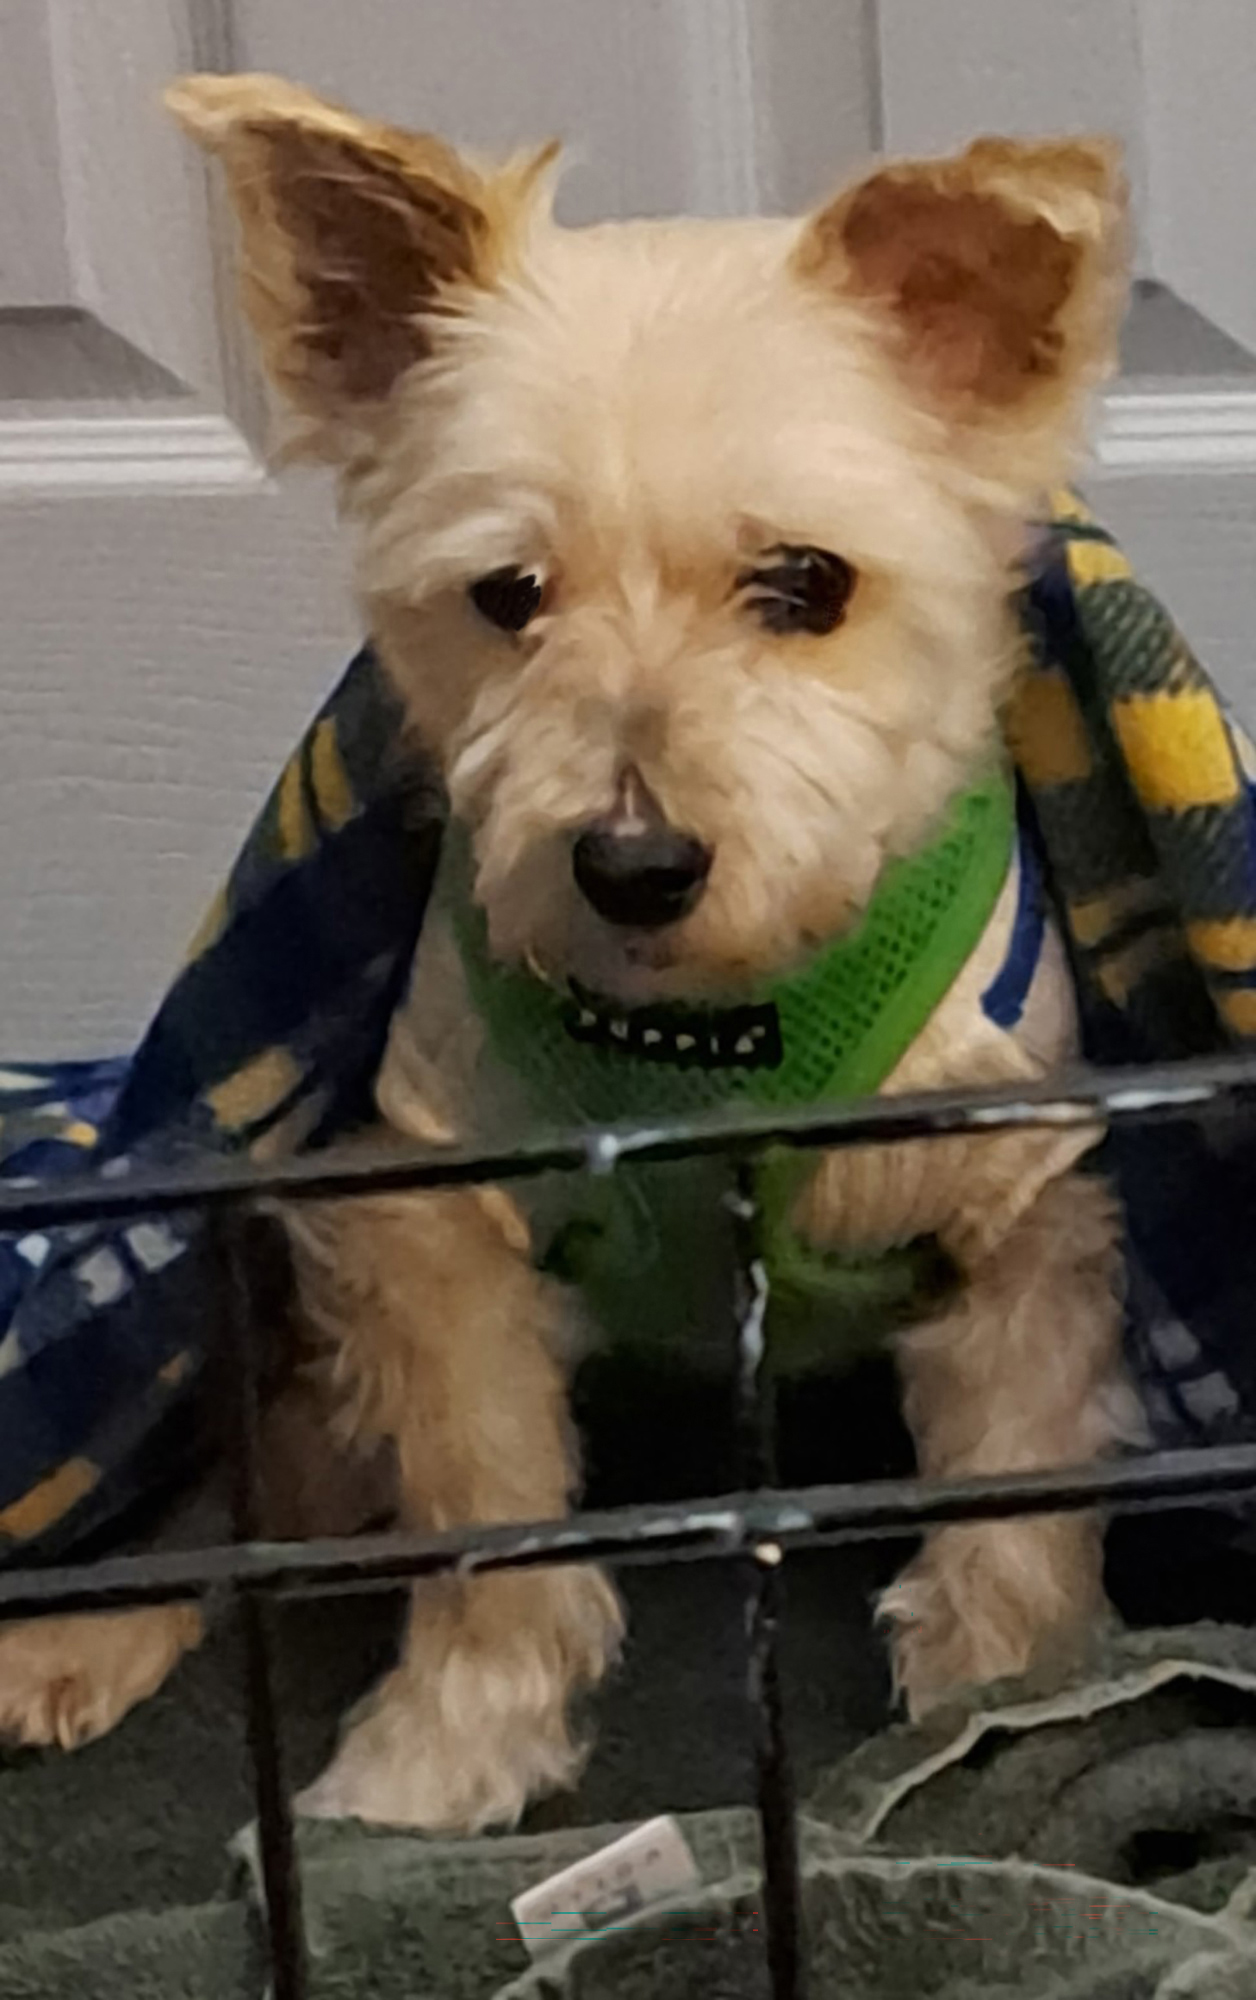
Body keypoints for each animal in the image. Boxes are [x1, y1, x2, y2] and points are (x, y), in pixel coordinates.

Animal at [0, 73, 1143, 1833]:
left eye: (805, 583)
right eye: (508, 593)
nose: (634, 863)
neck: (722, 1034)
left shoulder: (1019, 1212)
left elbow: (1017, 1484)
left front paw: (1008, 1699)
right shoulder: (428, 1219)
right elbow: (488, 1497)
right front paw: (438, 1752)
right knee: (249, 1477)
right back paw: (84, 1632)